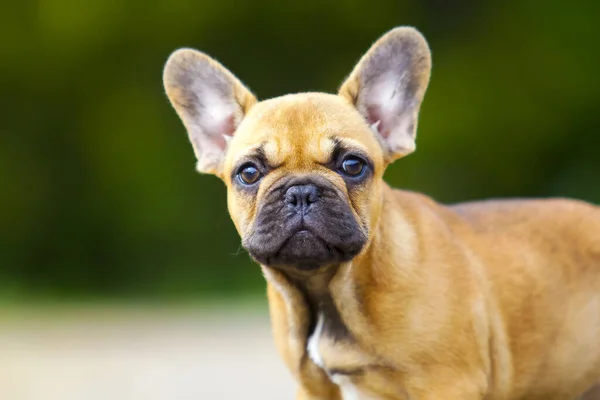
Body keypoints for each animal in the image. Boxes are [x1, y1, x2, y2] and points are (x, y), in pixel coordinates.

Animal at [163, 27, 600, 400]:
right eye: (249, 173)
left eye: (352, 165)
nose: (302, 191)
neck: (330, 289)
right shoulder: (312, 388)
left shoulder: (446, 384)